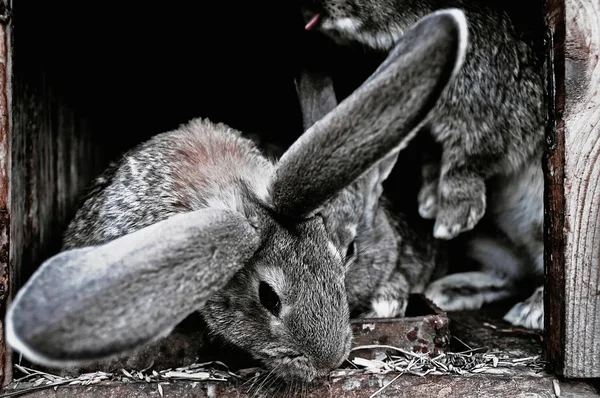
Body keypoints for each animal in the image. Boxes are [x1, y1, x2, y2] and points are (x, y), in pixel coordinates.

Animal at [300, 0, 548, 330]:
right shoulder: (429, 128)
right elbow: (433, 158)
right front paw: (429, 202)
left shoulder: (488, 113)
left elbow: (469, 158)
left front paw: (452, 218)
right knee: (509, 275)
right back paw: (450, 290)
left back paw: (532, 311)